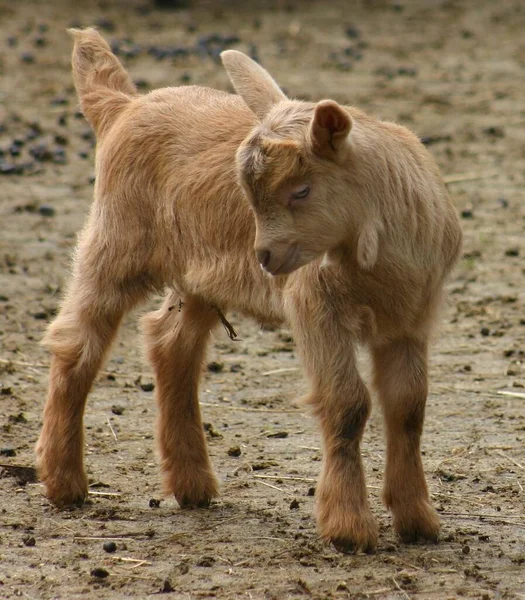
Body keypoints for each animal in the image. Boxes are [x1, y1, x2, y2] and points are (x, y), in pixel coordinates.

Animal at [36, 28, 460, 552]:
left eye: (301, 190)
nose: (265, 257)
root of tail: (124, 106)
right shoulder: (314, 305)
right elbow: (347, 403)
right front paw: (349, 529)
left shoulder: (411, 317)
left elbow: (408, 407)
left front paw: (418, 521)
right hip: (114, 243)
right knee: (77, 343)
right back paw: (65, 483)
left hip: (199, 273)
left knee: (170, 343)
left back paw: (192, 485)